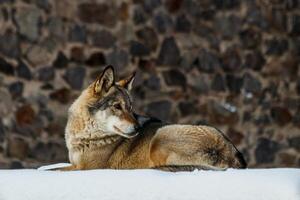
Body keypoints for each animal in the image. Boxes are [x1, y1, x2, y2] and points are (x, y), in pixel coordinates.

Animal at [62, 66, 246, 172]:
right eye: (117, 106)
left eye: (130, 108)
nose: (138, 128)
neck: (86, 135)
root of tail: (227, 148)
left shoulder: (85, 167)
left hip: (160, 138)